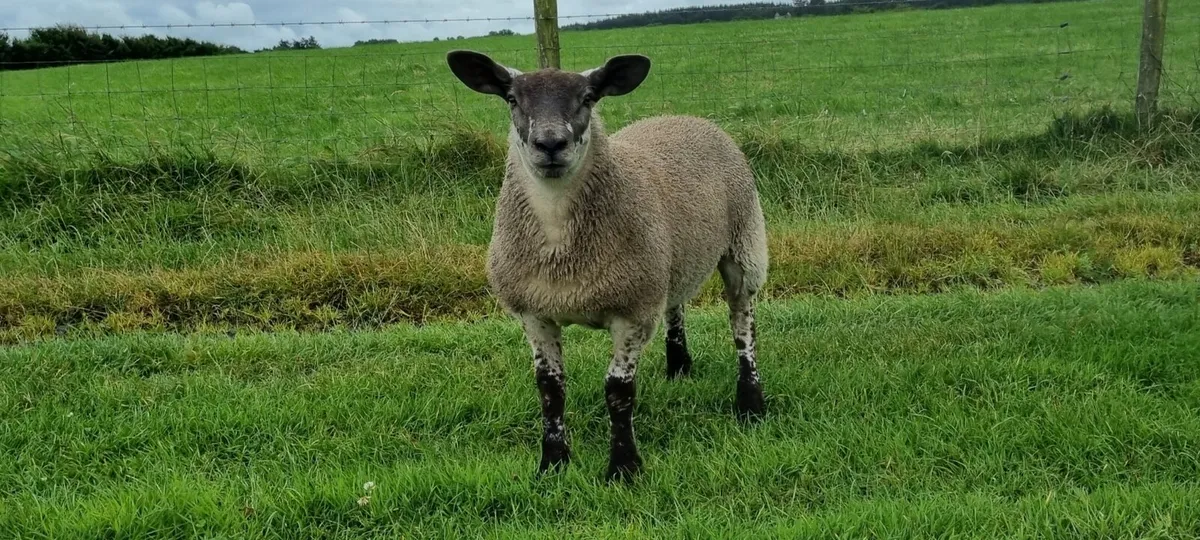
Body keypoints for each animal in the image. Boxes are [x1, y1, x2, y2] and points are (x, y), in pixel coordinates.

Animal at [445, 50, 769, 482]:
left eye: (587, 98)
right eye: (512, 99)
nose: (551, 144)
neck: (560, 247)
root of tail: (688, 117)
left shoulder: (633, 313)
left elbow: (618, 392)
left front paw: (623, 467)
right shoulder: (534, 313)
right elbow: (550, 389)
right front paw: (552, 464)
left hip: (744, 244)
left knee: (742, 324)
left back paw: (751, 402)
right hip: (667, 262)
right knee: (676, 304)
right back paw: (678, 367)